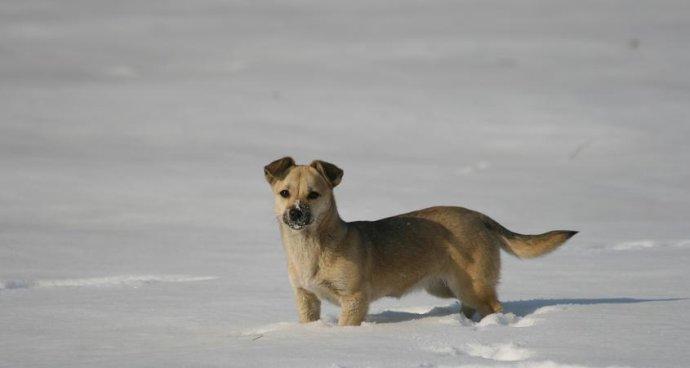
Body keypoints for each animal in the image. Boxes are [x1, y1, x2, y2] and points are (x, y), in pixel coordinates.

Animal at [264, 157, 576, 326]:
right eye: (284, 193)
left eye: (314, 195)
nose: (295, 213)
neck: (312, 247)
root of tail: (479, 216)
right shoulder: (306, 297)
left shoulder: (353, 299)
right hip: (447, 287)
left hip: (471, 285)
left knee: (495, 307)